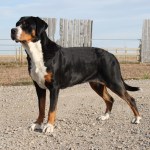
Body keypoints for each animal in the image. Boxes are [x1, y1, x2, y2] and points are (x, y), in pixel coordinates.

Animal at [11, 16, 141, 133]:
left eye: (26, 24)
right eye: (17, 24)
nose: (12, 30)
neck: (38, 53)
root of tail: (112, 55)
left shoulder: (54, 87)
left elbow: (51, 109)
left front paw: (49, 126)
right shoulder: (39, 87)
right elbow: (41, 108)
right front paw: (37, 124)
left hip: (114, 82)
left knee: (130, 99)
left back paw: (137, 118)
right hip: (97, 84)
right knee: (110, 99)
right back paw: (105, 116)